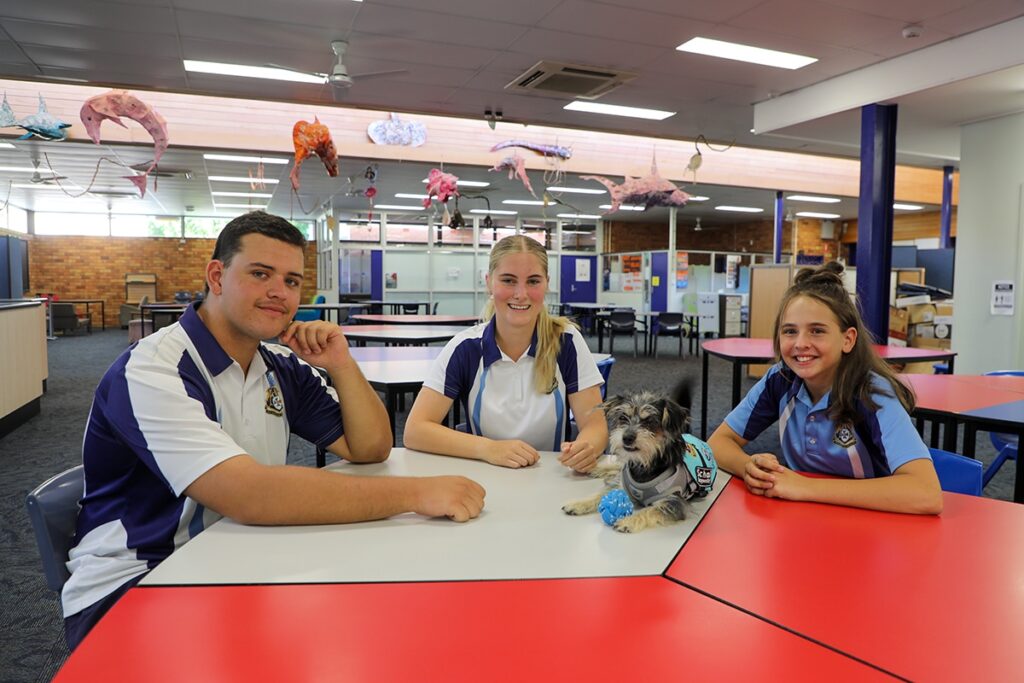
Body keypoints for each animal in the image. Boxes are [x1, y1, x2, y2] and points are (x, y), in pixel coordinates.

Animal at [565, 385, 708, 532]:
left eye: (649, 421)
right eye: (623, 417)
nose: (627, 437)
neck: (644, 463)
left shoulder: (674, 502)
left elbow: (650, 511)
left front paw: (628, 521)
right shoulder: (621, 483)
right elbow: (601, 494)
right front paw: (579, 503)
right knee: (618, 467)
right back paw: (596, 469)